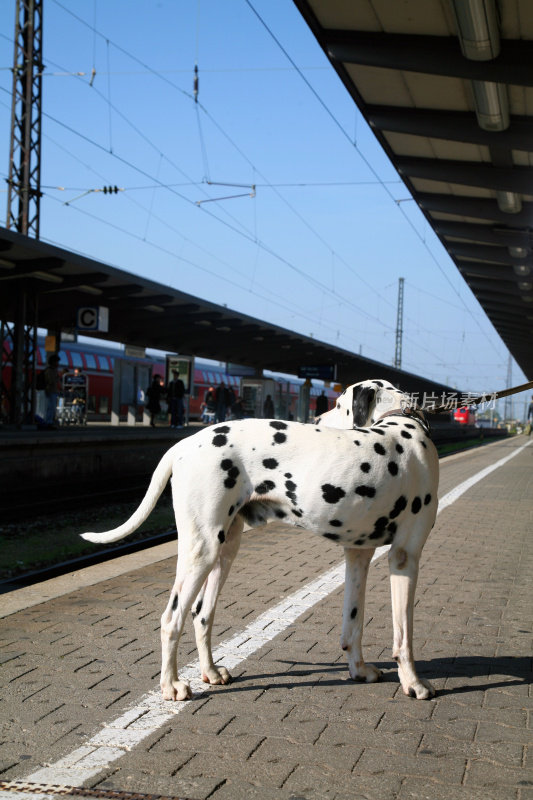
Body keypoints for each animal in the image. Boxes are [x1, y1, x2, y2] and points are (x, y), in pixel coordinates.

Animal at [82, 382, 436, 700]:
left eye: (338, 404)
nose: (317, 419)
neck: (400, 424)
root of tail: (182, 446)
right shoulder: (405, 558)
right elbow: (404, 635)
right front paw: (414, 683)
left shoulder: (358, 555)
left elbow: (354, 622)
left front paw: (359, 671)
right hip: (201, 551)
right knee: (172, 619)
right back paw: (171, 686)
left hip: (224, 551)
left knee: (202, 614)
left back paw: (210, 672)